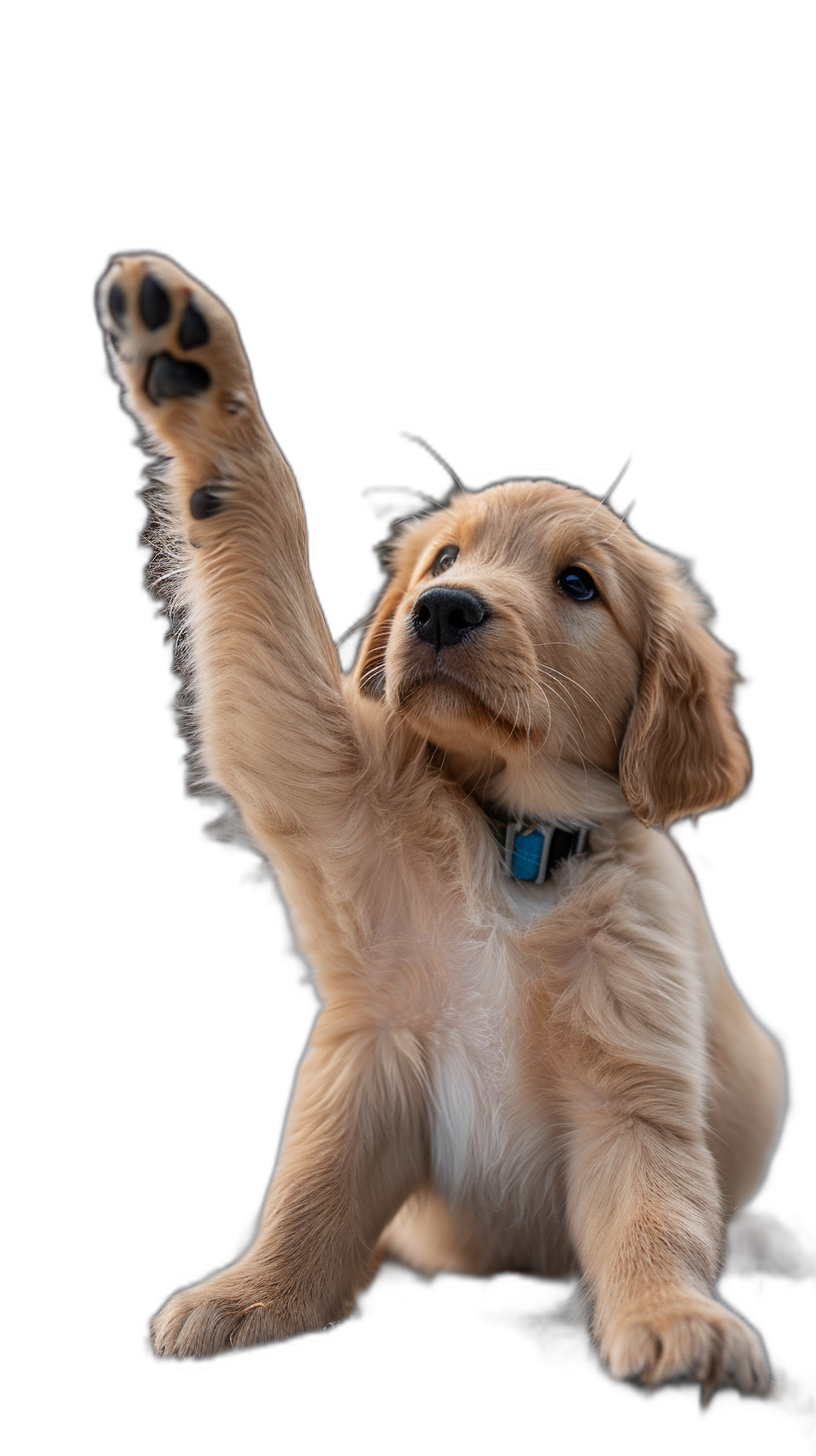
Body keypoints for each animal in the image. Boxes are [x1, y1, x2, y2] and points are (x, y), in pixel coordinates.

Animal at [99, 253, 786, 1397]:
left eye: (577, 583)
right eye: (445, 560)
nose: (445, 611)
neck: (518, 838)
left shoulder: (632, 1080)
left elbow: (655, 1216)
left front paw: (678, 1318)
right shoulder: (335, 822)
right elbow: (311, 1196)